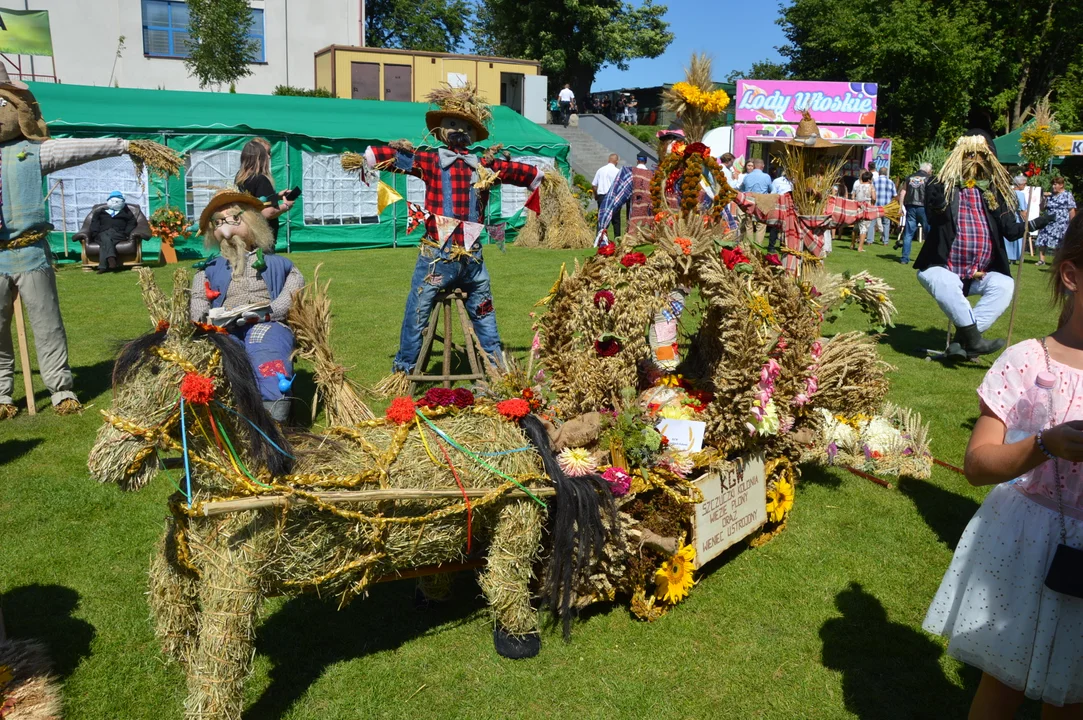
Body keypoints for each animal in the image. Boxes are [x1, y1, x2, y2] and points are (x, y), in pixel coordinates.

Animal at [88, 268, 615, 718]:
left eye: (156, 375)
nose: (102, 461)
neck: (248, 480)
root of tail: (513, 416)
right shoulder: (183, 556)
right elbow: (167, 596)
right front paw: (177, 651)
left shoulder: (233, 581)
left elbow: (219, 654)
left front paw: (206, 699)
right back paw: (432, 590)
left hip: (518, 514)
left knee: (506, 575)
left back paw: (517, 637)